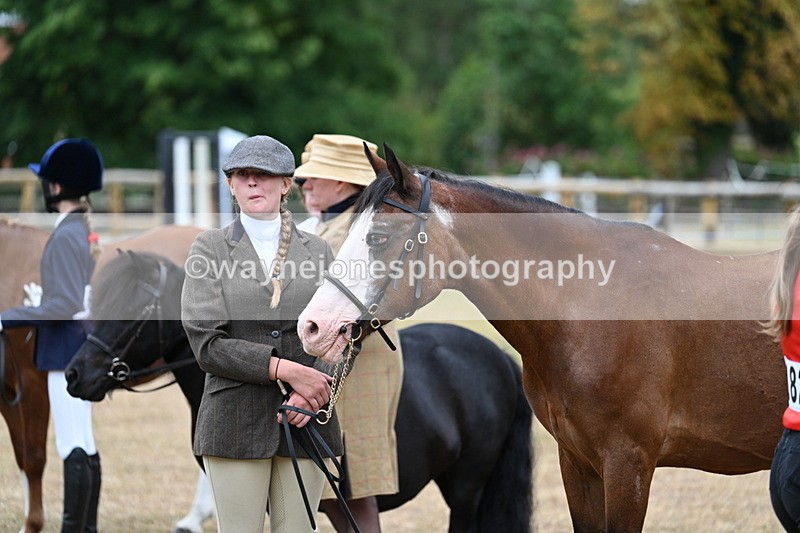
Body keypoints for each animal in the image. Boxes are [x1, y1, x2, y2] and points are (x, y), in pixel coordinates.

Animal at [0, 217, 203, 533]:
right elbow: (22, 453)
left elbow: (33, 457)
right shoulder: (8, 390)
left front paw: (32, 524)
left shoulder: (33, 384)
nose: (73, 373)